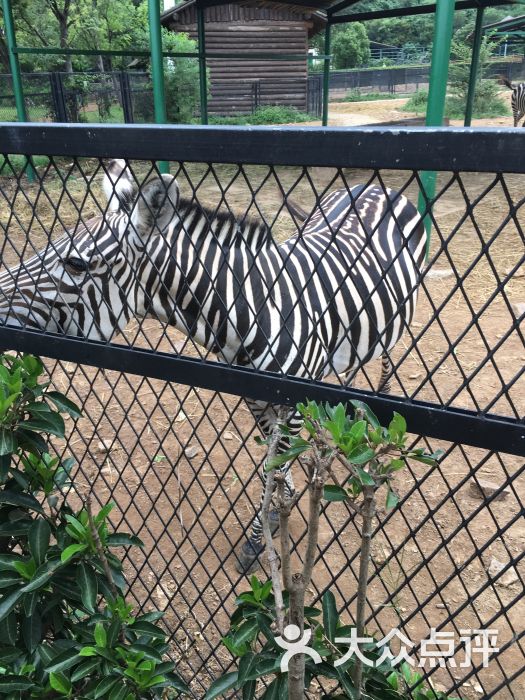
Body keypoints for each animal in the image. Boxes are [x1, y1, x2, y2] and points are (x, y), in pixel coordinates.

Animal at [0, 160, 424, 576]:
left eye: (75, 263)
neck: (253, 310)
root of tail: (376, 187)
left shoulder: (292, 402)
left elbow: (275, 463)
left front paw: (259, 538)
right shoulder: (256, 397)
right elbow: (274, 463)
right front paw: (276, 511)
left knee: (388, 355)